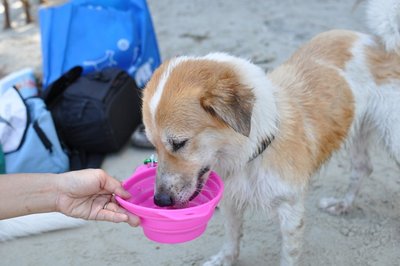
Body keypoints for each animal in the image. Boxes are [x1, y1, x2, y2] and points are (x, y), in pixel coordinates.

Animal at [141, 1, 400, 264]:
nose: (160, 201)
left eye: (179, 143)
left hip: (393, 137)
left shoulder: (291, 213)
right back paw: (343, 204)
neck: (256, 148)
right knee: (362, 167)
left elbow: (288, 255)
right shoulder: (231, 199)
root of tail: (379, 41)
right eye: (153, 145)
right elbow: (231, 237)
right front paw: (225, 259)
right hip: (357, 130)